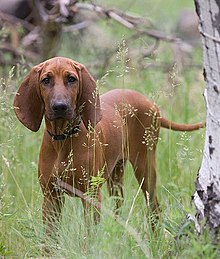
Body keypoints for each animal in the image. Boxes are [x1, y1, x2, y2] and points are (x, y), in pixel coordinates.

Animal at [13, 57, 203, 236]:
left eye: (71, 79)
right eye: (46, 80)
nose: (60, 107)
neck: (63, 139)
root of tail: (150, 103)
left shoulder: (91, 195)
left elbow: (89, 236)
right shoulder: (51, 196)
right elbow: (49, 239)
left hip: (145, 168)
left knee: (154, 207)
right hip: (116, 176)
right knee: (119, 206)